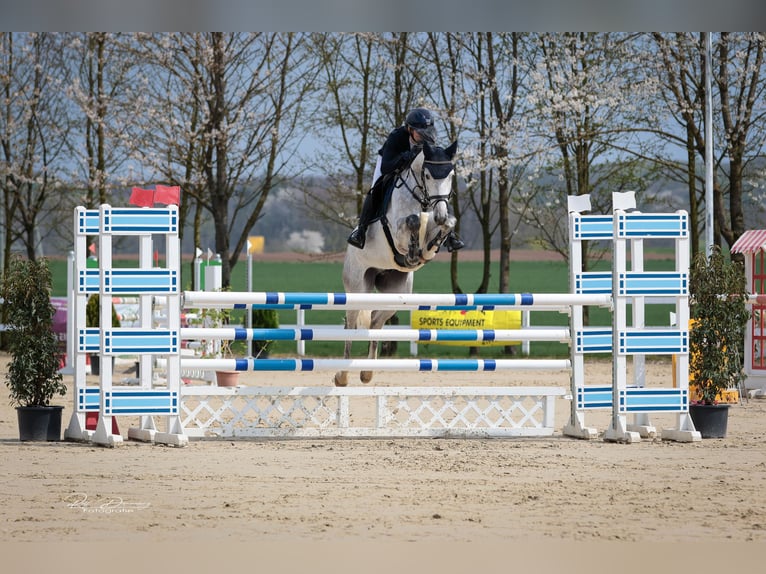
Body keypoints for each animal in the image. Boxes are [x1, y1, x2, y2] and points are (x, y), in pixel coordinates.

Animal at [334, 142, 456, 390]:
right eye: (428, 175)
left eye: (451, 175)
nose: (440, 213)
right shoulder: (396, 228)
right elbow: (412, 221)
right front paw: (413, 252)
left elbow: (447, 224)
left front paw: (427, 249)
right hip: (357, 287)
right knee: (351, 324)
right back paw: (342, 375)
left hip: (396, 292)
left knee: (375, 321)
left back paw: (367, 373)